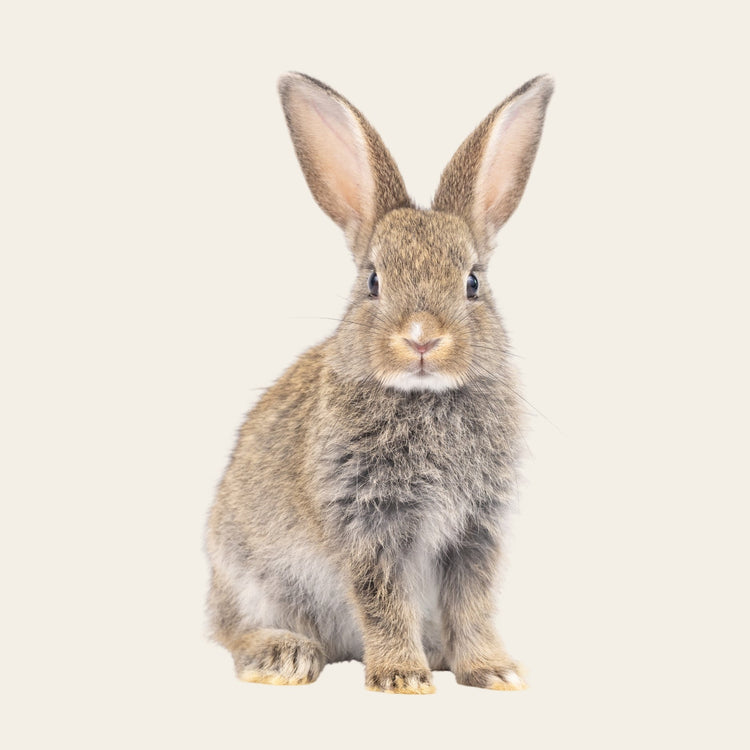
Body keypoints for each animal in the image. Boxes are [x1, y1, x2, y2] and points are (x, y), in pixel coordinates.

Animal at [206, 72, 553, 694]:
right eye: (372, 281)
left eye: (472, 283)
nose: (422, 339)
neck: (425, 398)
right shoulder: (368, 522)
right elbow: (384, 600)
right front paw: (402, 678)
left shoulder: (475, 531)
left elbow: (473, 603)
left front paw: (492, 671)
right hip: (246, 574)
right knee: (233, 632)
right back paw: (283, 656)